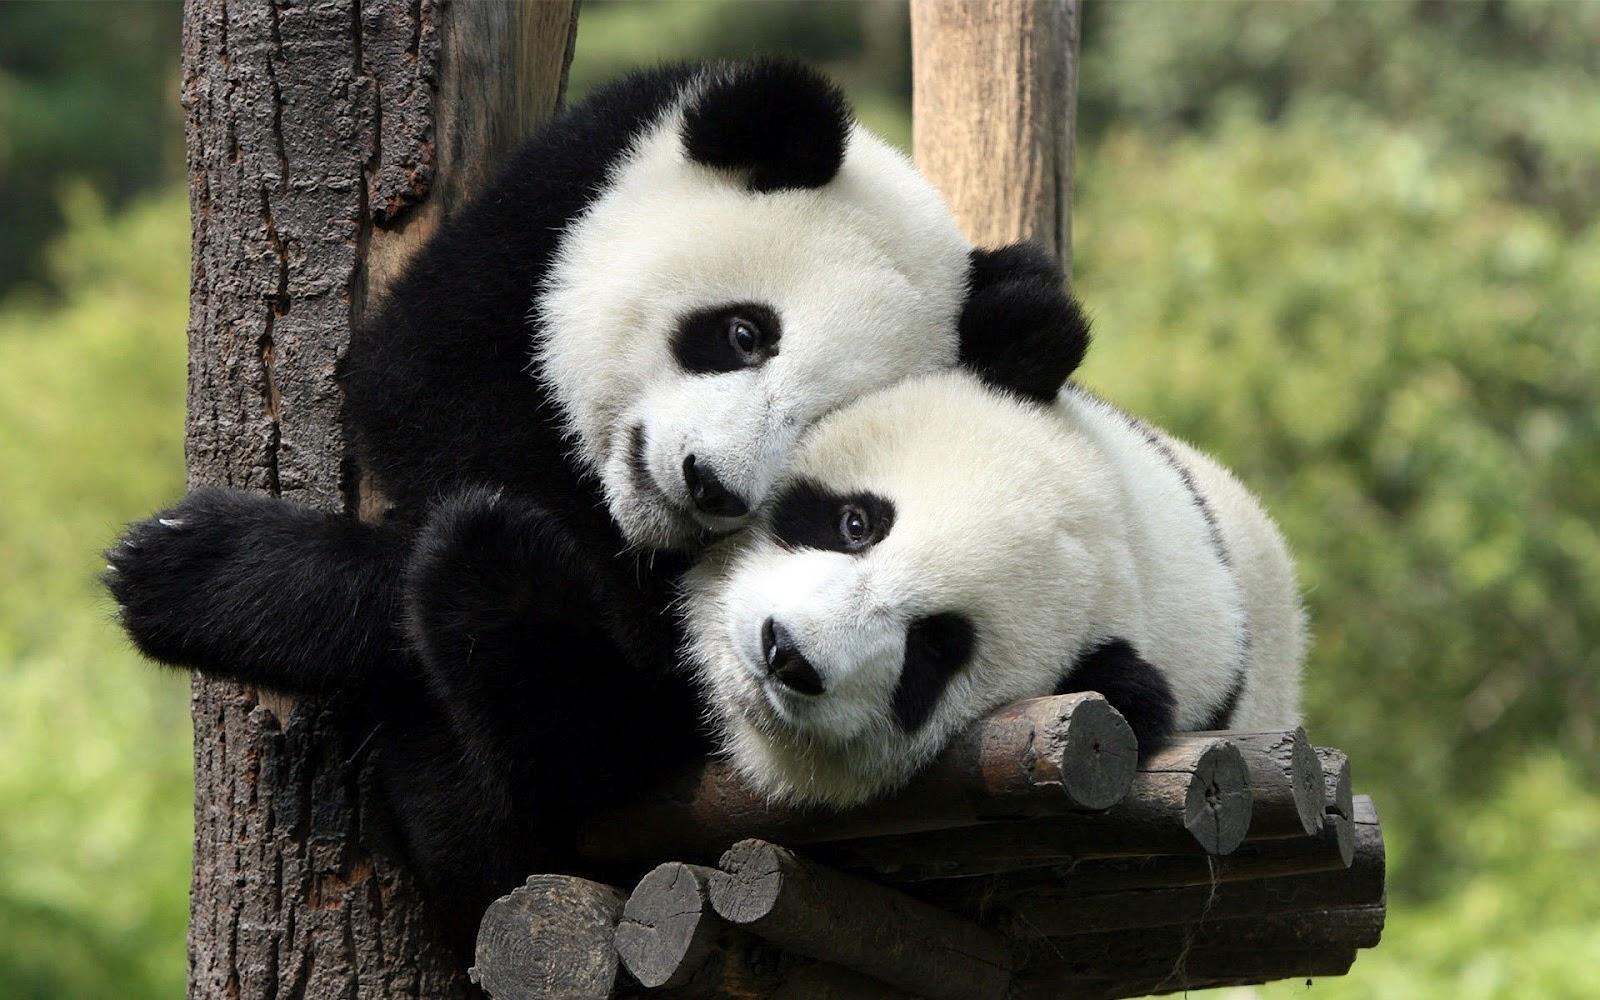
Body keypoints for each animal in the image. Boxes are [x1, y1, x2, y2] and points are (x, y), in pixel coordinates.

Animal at [104, 60, 1085, 935]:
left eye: (820, 425)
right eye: (743, 334)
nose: (710, 484)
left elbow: (628, 676)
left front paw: (196, 571)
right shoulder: (549, 210)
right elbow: (420, 388)